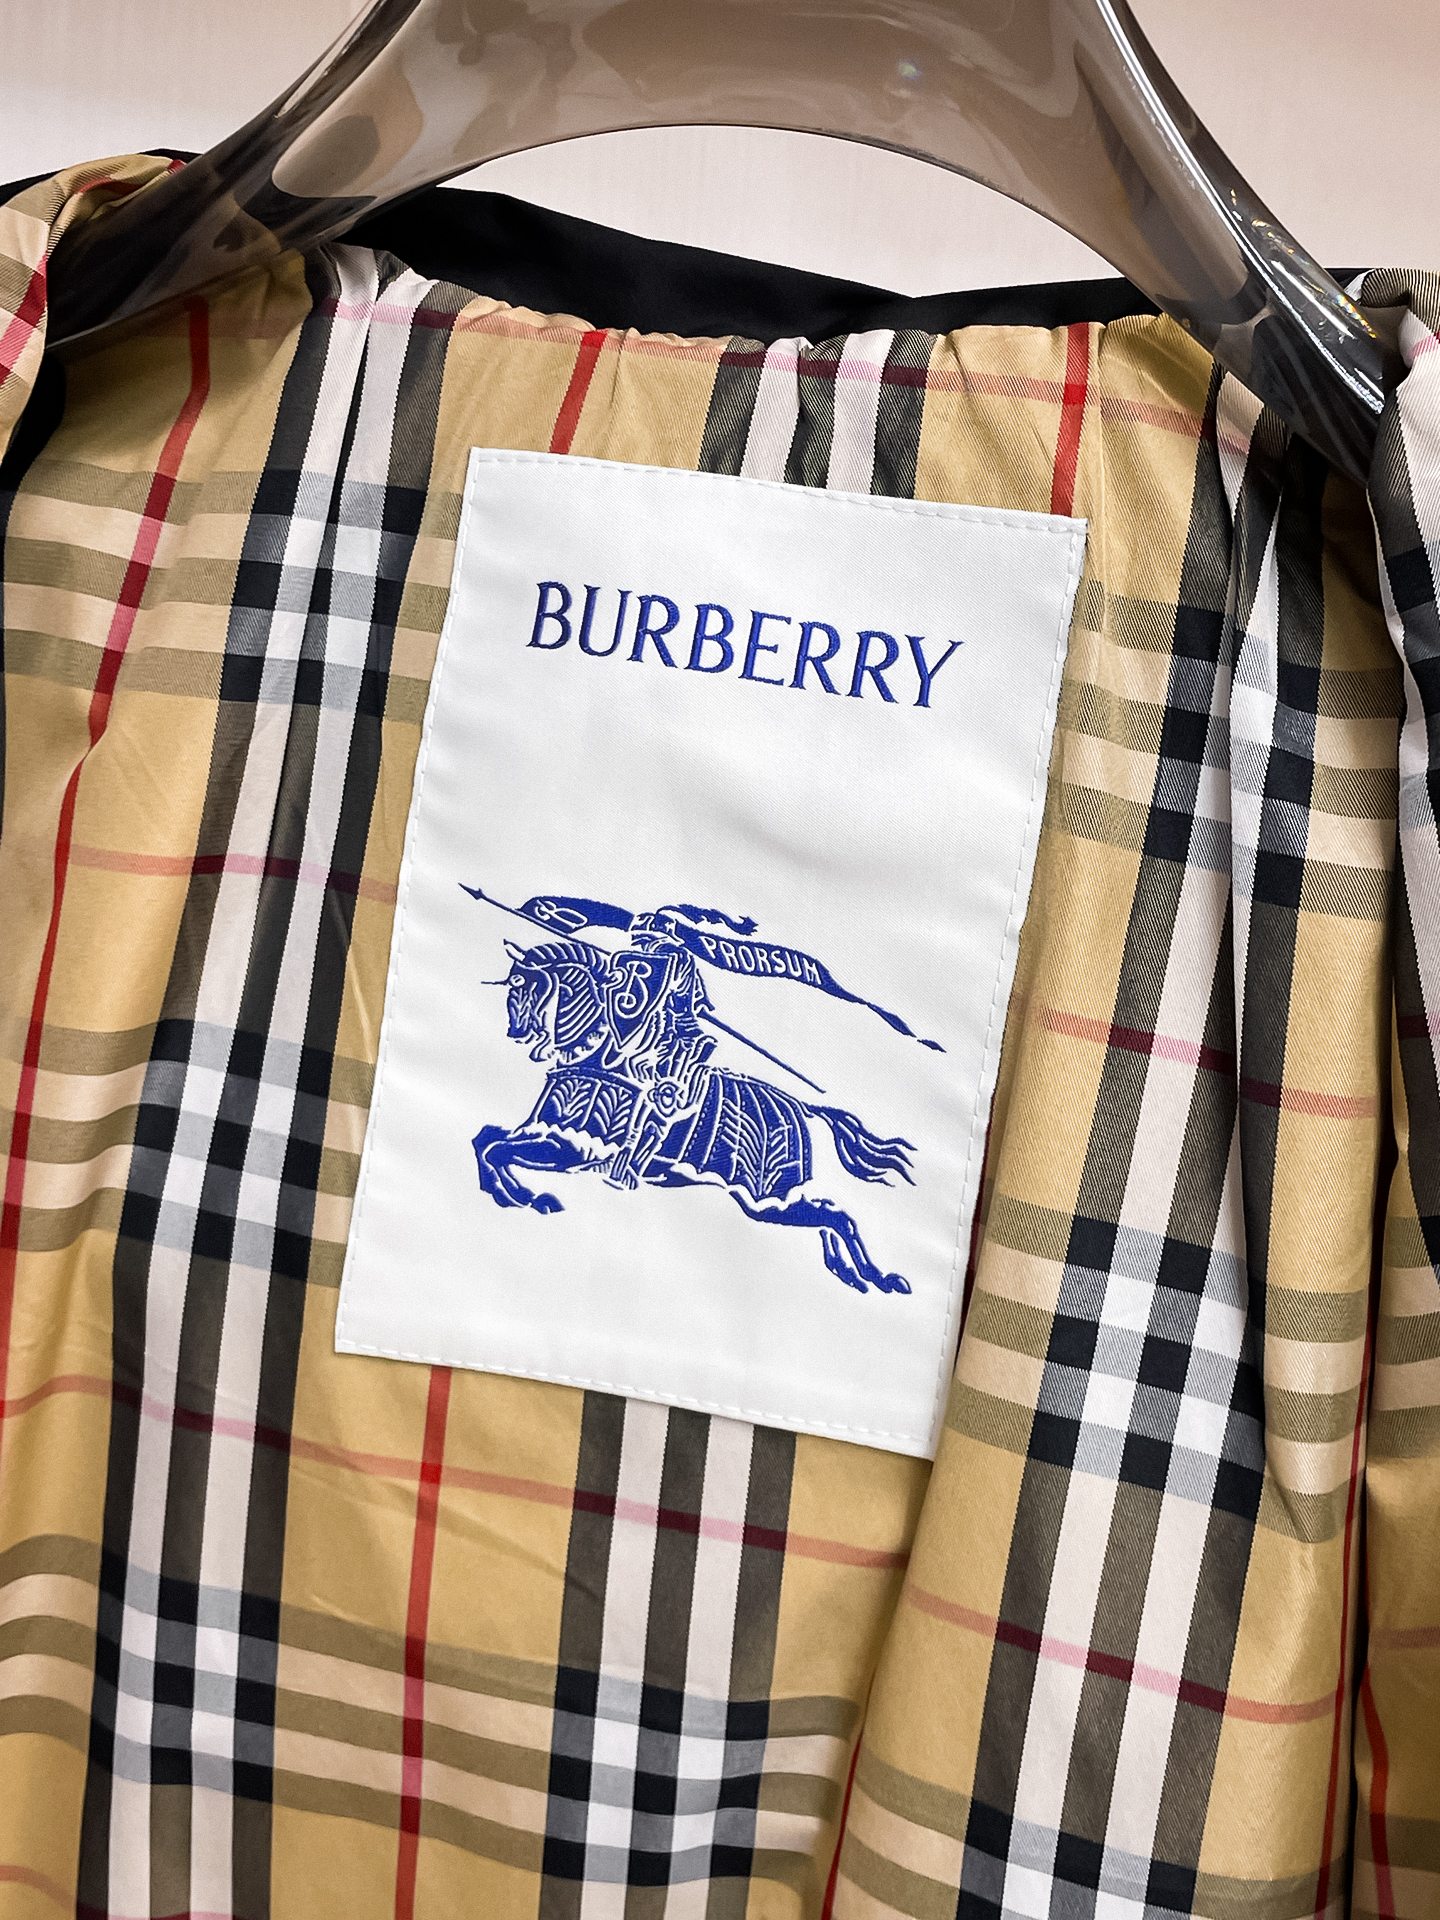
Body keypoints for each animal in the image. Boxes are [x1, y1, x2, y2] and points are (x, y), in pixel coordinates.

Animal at [470, 937, 915, 1296]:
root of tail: (800, 1106)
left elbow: (496, 1149)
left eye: (532, 987)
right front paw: (513, 1194)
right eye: (511, 987)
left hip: (768, 1199)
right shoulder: (547, 1132)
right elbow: (487, 1140)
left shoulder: (574, 1148)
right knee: (829, 1216)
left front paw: (526, 1196)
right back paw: (851, 1273)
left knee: (836, 1218)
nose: (516, 1033)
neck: (600, 1057)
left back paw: (876, 1278)